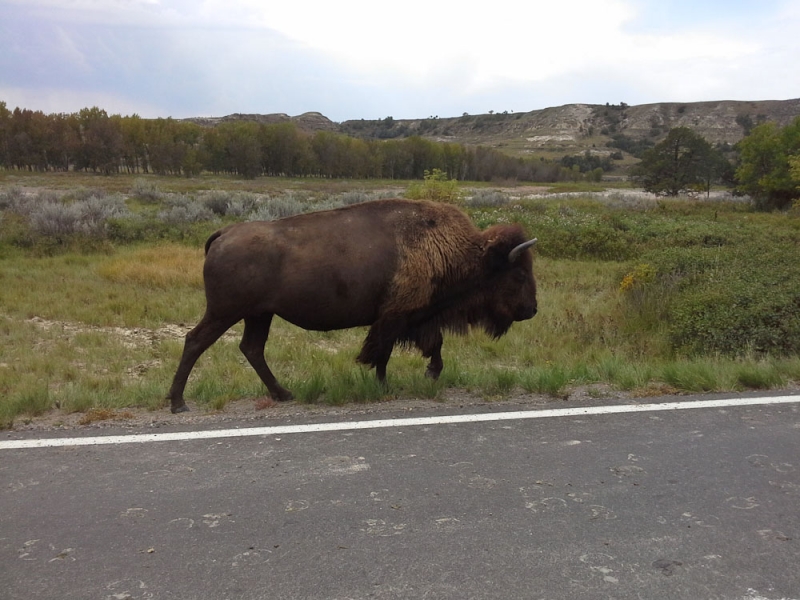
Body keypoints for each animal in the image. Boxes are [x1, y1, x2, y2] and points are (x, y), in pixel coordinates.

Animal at [167, 197, 536, 412]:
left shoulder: (415, 318)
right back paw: (178, 403)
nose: (532, 309)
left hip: (259, 315)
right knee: (195, 341)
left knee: (252, 348)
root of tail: (224, 233)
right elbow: (383, 352)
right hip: (225, 312)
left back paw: (284, 394)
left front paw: (428, 374)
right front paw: (386, 385)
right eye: (518, 274)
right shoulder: (395, 317)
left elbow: (432, 344)